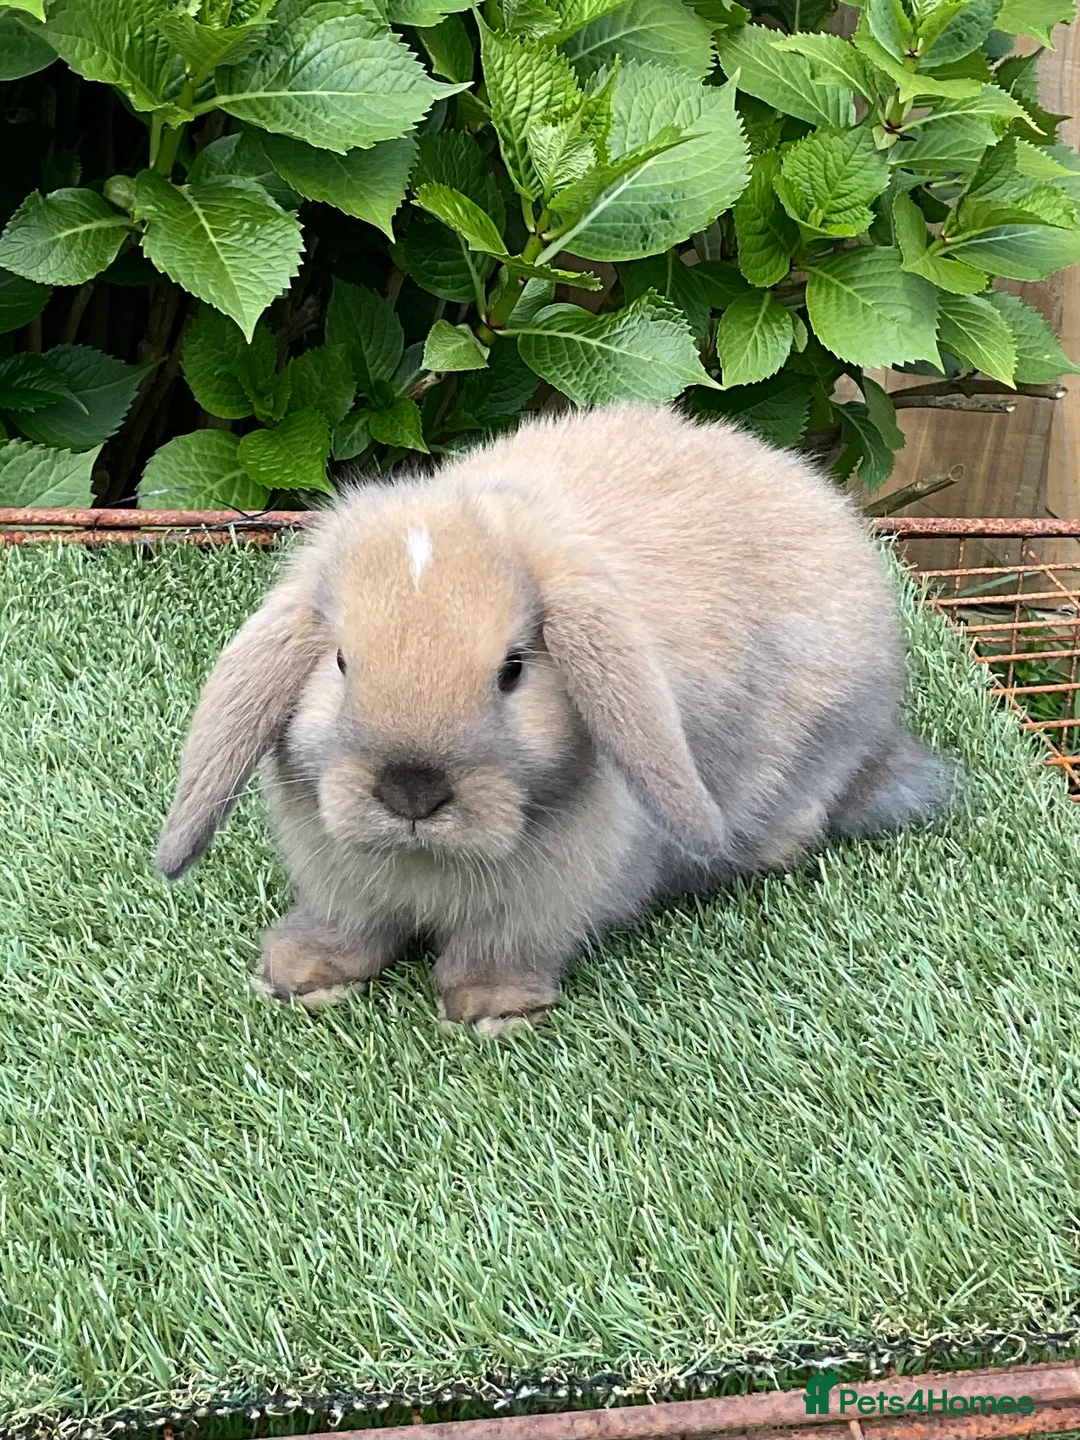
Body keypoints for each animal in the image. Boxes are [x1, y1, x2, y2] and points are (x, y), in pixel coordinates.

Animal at [156, 403, 953, 1035]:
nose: (412, 790)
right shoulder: (340, 884)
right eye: (343, 663)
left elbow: (500, 953)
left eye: (513, 670)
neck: (427, 863)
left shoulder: (543, 903)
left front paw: (492, 1012)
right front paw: (300, 975)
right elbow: (345, 927)